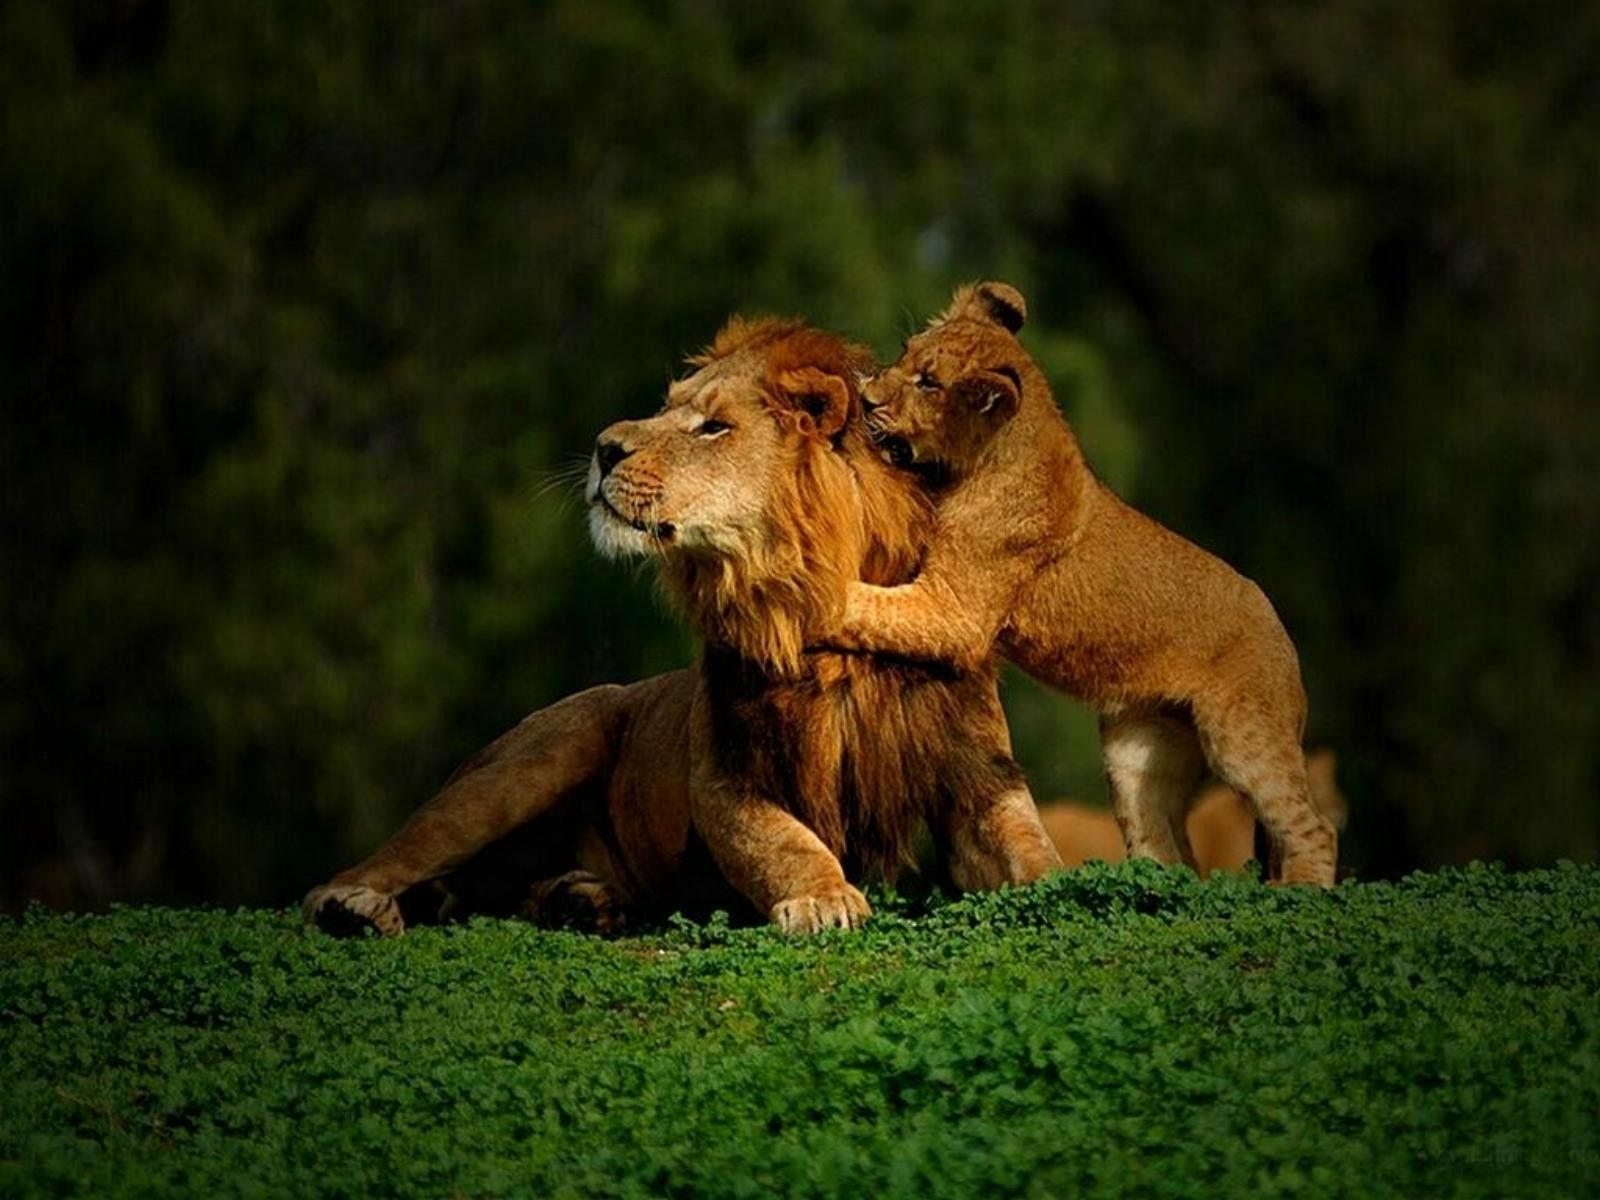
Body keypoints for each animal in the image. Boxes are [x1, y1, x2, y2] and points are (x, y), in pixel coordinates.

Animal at [303, 317, 1062, 937]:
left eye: (714, 427)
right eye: (666, 407)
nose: (603, 447)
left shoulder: (977, 772)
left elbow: (1031, 846)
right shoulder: (725, 774)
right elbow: (785, 841)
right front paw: (824, 898)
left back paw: (580, 902)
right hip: (531, 763)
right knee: (380, 865)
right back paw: (356, 909)